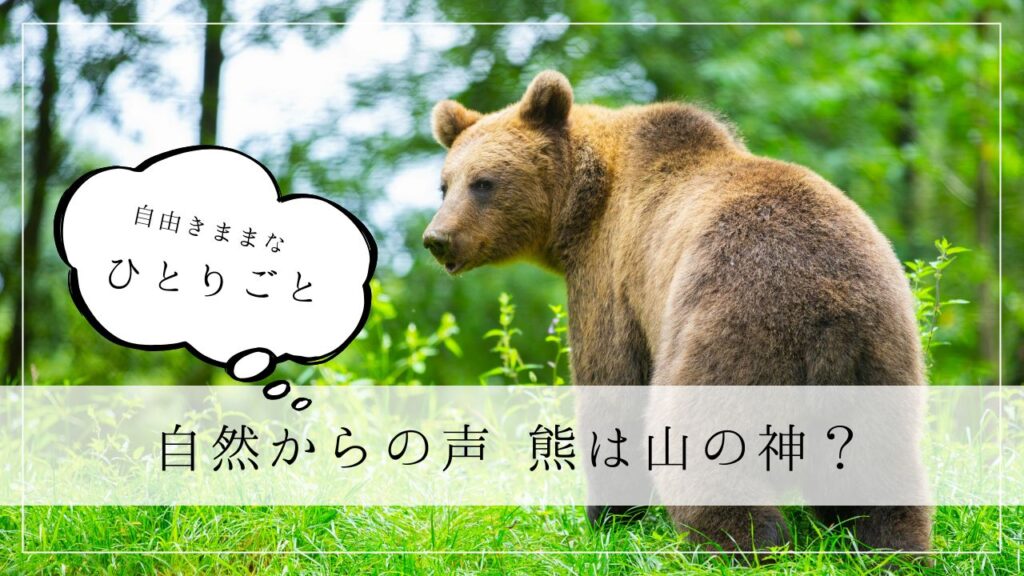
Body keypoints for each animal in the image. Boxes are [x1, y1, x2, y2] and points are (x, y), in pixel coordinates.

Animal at [422, 70, 932, 553]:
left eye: (484, 183)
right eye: (445, 184)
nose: (437, 238)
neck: (582, 208)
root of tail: (827, 315)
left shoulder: (610, 277)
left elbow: (611, 385)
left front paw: (607, 518)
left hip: (732, 326)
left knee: (702, 440)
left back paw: (742, 544)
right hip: (881, 354)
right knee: (880, 474)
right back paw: (891, 547)